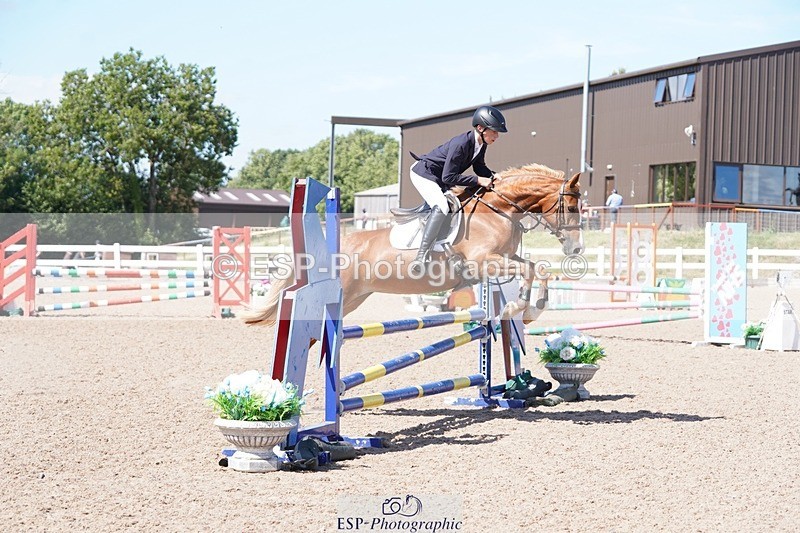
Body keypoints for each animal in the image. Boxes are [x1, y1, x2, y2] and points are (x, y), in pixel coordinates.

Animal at [244, 163, 583, 326]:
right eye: (571, 206)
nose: (576, 250)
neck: (497, 210)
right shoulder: (484, 261)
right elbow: (530, 271)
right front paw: (518, 307)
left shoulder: (505, 258)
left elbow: (537, 267)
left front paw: (533, 309)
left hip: (355, 298)